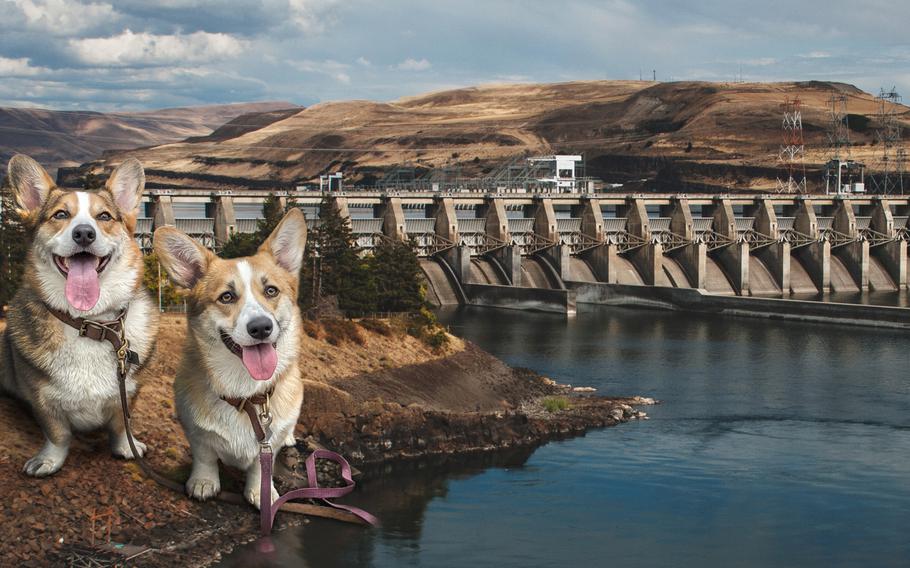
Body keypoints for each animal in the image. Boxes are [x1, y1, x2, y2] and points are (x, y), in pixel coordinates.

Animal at [0, 153, 159, 478]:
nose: (84, 233)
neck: (90, 322)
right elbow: (58, 433)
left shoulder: (130, 390)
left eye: (105, 217)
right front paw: (49, 460)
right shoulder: (40, 398)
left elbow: (122, 423)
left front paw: (127, 447)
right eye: (61, 215)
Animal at [155, 209, 308, 506]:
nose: (261, 327)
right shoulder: (196, 432)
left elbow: (262, 465)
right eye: (226, 297)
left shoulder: (267, 442)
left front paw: (261, 492)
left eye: (271, 291)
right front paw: (203, 483)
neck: (245, 393)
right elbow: (204, 456)